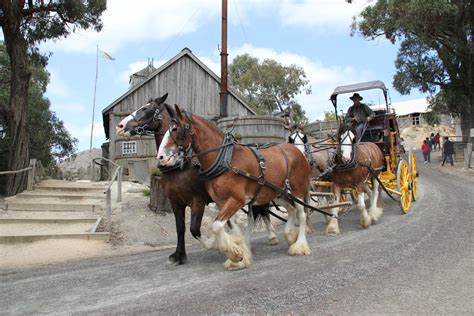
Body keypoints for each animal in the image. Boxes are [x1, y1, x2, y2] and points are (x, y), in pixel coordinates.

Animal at [115, 95, 278, 266]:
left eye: (146, 109)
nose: (120, 126)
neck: (181, 167)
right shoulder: (176, 202)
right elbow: (180, 228)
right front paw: (179, 255)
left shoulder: (197, 200)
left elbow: (194, 229)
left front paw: (216, 245)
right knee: (256, 214)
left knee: (261, 211)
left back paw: (267, 237)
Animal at [157, 105, 312, 270]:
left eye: (175, 129)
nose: (161, 158)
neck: (225, 160)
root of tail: (297, 151)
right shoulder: (221, 202)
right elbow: (232, 228)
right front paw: (240, 253)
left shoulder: (234, 200)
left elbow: (217, 225)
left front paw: (234, 254)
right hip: (278, 194)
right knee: (290, 209)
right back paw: (290, 235)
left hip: (296, 191)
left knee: (301, 214)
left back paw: (300, 245)